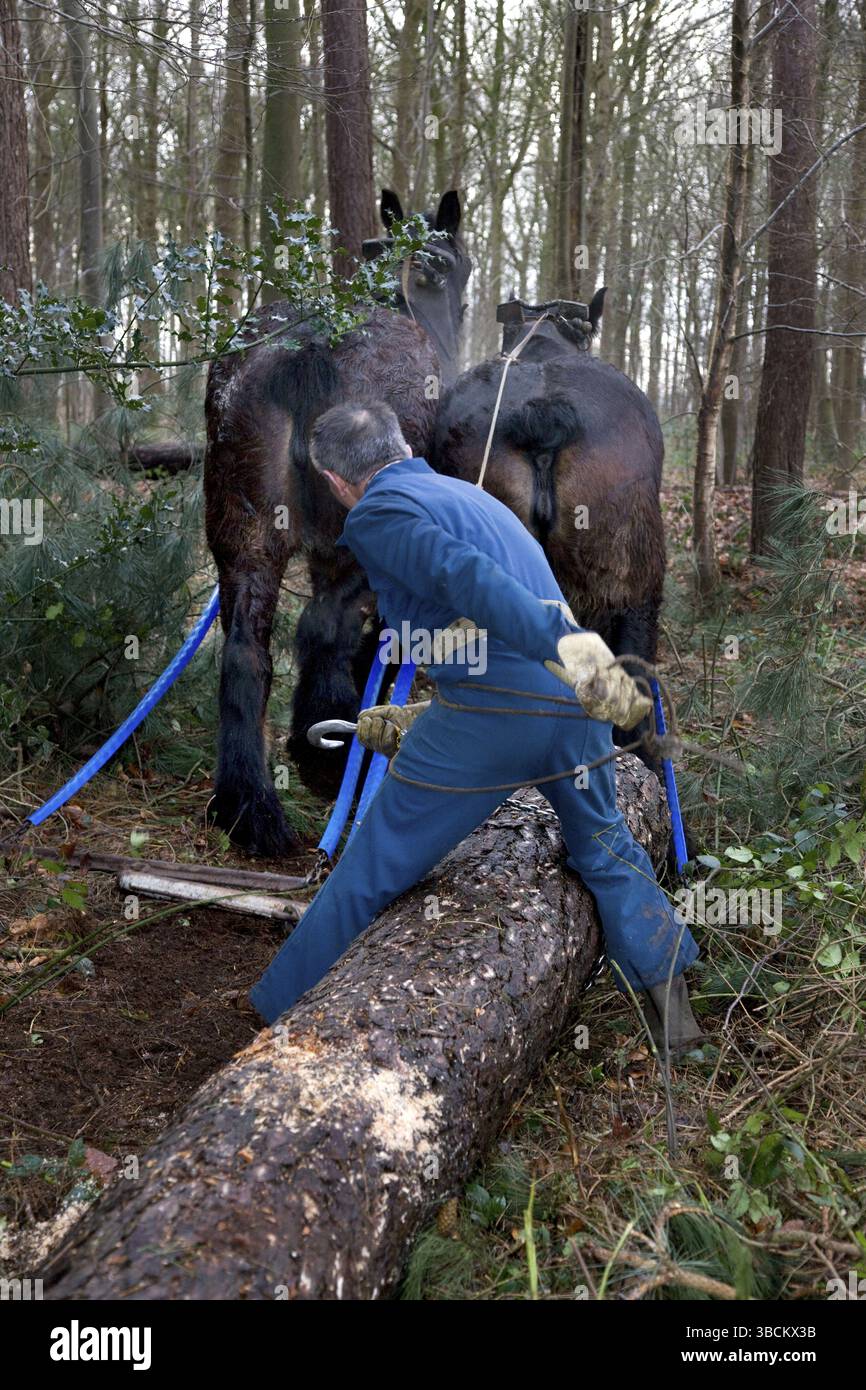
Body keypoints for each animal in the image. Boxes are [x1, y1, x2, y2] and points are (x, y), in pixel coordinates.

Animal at [204, 190, 472, 856]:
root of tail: (310, 349)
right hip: (353, 544)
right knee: (322, 631)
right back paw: (325, 755)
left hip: (243, 530)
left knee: (245, 651)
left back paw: (246, 804)